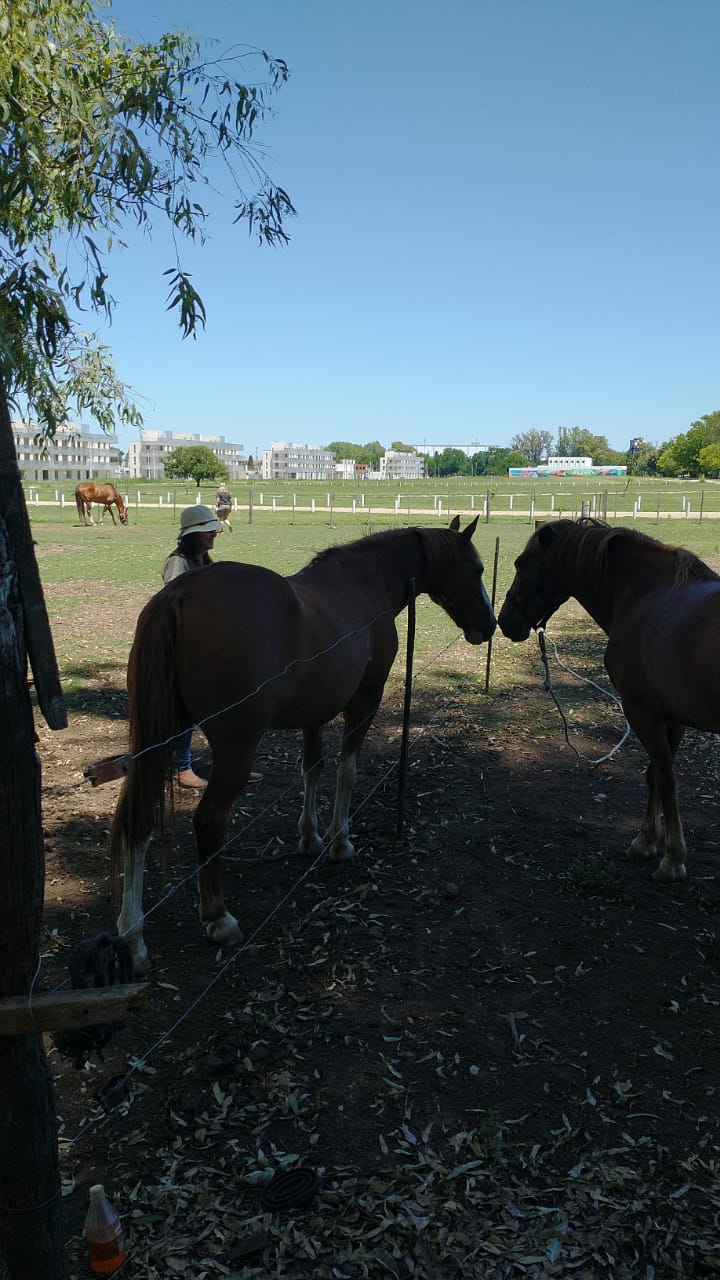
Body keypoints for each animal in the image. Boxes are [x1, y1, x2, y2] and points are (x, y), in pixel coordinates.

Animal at [109, 517, 496, 974]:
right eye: (477, 569)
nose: (490, 625)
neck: (364, 584)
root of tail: (178, 595)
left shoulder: (315, 713)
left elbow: (312, 769)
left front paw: (310, 838)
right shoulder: (364, 701)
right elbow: (347, 771)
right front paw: (339, 841)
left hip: (157, 741)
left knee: (138, 822)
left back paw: (133, 937)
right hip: (236, 748)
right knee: (208, 821)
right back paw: (219, 919)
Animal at [498, 517, 720, 883]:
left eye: (519, 563)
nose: (504, 621)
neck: (645, 592)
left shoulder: (642, 713)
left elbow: (665, 780)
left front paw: (671, 858)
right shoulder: (671, 719)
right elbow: (655, 776)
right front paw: (647, 840)